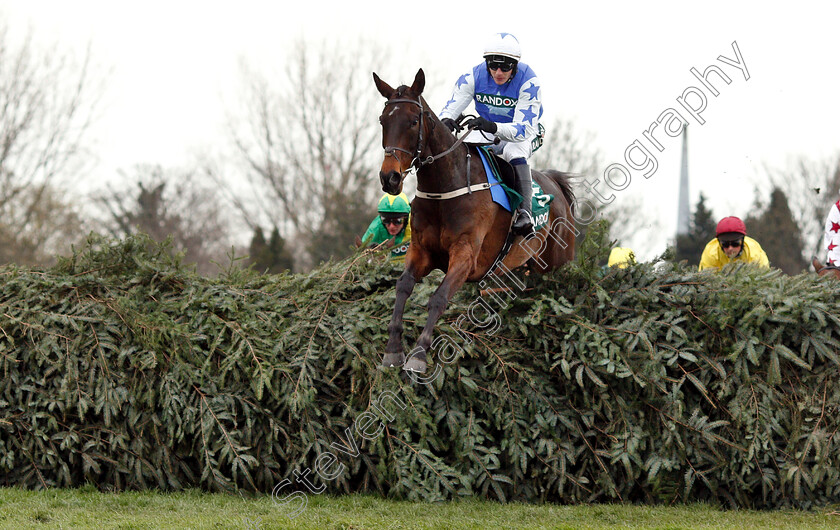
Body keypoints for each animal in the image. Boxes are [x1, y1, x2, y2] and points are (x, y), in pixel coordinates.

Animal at [374, 68, 576, 372]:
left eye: (413, 121)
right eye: (383, 120)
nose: (390, 178)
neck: (446, 188)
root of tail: (555, 183)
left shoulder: (466, 255)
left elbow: (439, 298)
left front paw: (419, 354)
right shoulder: (421, 250)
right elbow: (403, 287)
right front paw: (393, 348)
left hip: (556, 262)